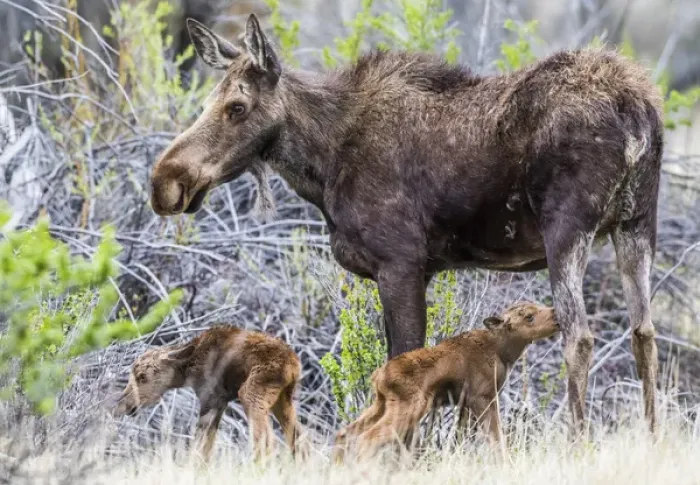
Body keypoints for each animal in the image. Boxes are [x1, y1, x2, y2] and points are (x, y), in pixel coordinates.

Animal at [114, 326, 303, 462]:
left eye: (142, 377)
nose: (124, 404)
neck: (189, 369)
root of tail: (293, 364)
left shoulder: (210, 399)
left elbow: (199, 446)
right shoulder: (221, 403)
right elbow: (207, 449)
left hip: (252, 392)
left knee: (266, 440)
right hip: (283, 399)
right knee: (299, 439)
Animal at [149, 14, 664, 435]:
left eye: (236, 106)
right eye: (207, 101)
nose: (165, 182)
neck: (323, 164)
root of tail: (637, 112)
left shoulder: (399, 262)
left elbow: (401, 364)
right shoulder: (420, 269)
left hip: (567, 228)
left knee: (580, 336)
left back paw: (579, 442)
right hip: (637, 224)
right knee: (643, 333)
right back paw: (653, 437)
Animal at [332, 301, 560, 462]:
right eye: (529, 317)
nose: (555, 313)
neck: (503, 352)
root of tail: (378, 376)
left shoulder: (465, 403)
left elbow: (461, 439)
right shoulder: (483, 396)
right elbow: (496, 437)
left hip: (381, 404)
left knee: (345, 433)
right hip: (409, 405)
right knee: (367, 439)